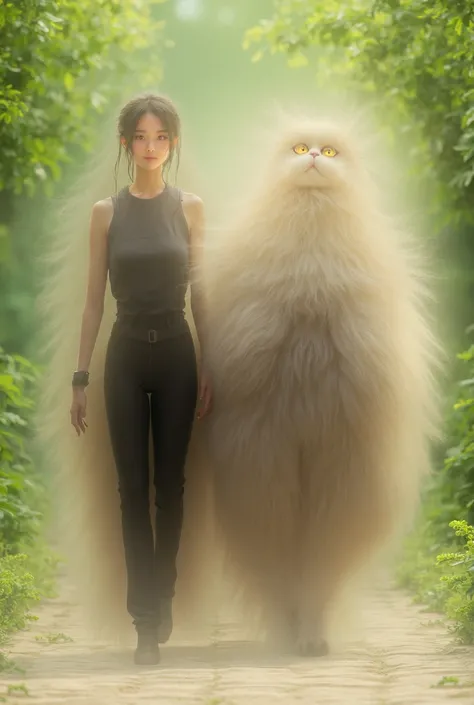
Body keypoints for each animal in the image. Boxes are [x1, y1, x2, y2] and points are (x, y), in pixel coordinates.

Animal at [37, 108, 440, 656]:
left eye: (331, 153)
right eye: (299, 150)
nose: (314, 159)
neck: (312, 255)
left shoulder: (340, 469)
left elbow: (319, 565)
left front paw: (312, 632)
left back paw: (305, 636)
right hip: (262, 477)